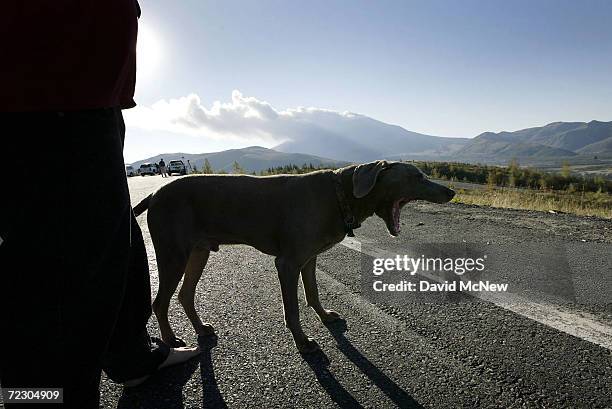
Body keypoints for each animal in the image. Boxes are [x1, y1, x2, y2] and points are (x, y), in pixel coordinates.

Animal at [133, 159, 454, 350]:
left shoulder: (309, 258)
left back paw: (201, 329)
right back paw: (171, 340)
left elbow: (312, 293)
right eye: (416, 176)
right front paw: (303, 342)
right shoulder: (287, 263)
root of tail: (154, 194)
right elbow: (293, 309)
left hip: (198, 253)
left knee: (185, 294)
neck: (339, 195)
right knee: (159, 301)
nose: (451, 192)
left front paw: (325, 317)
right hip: (173, 254)